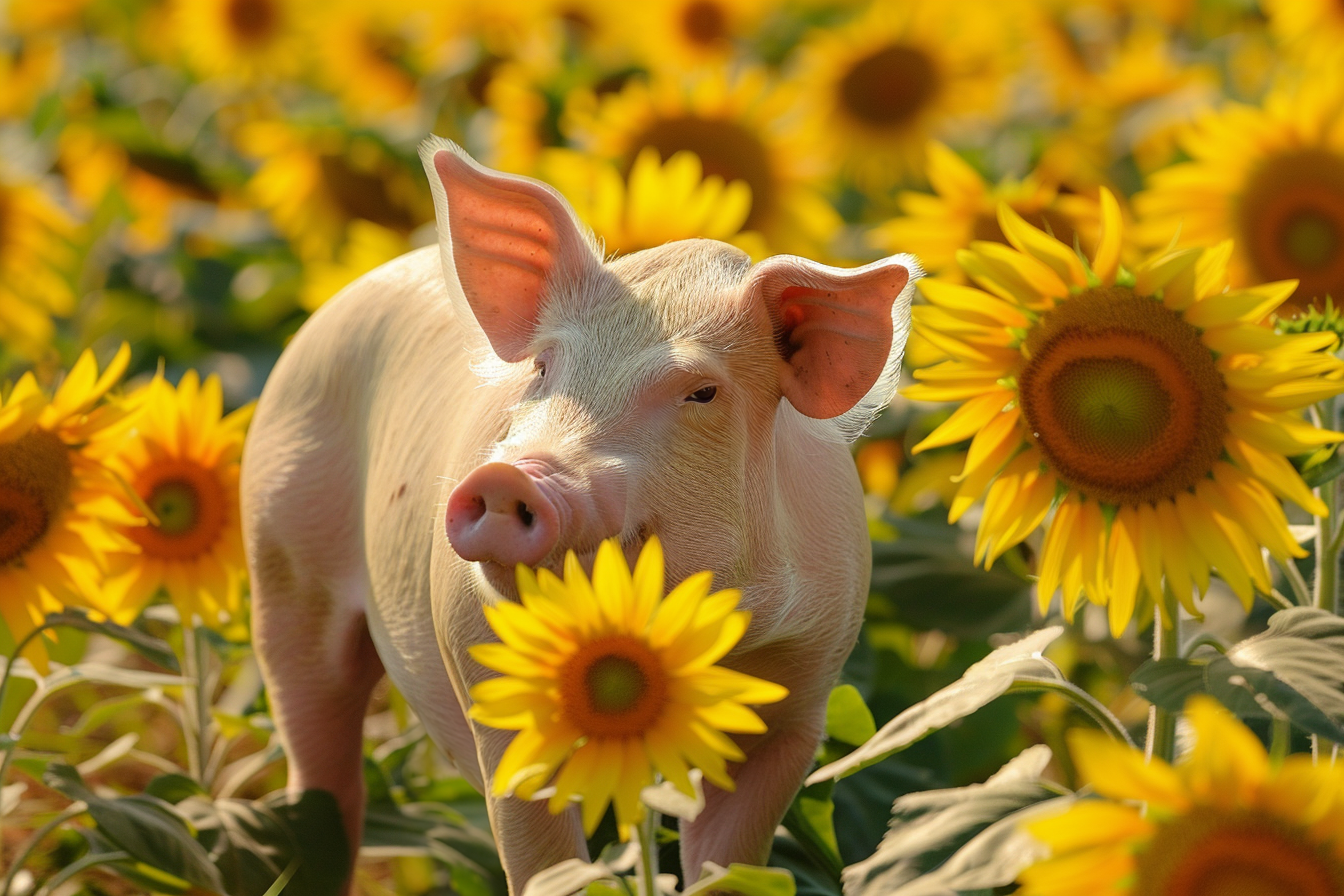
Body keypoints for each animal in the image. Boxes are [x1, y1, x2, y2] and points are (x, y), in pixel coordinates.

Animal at [240, 137, 917, 894]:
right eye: (542, 368)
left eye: (702, 392)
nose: (511, 474)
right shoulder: (492, 690)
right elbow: (548, 863)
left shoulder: (800, 698)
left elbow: (728, 858)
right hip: (278, 553)